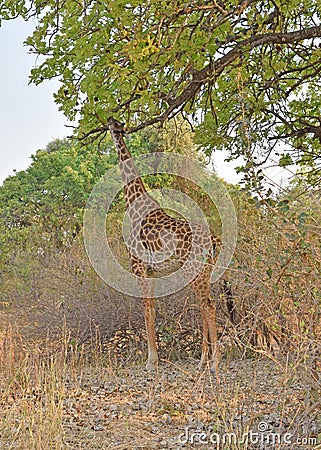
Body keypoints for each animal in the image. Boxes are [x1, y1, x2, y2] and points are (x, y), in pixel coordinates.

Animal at [107, 117, 220, 376]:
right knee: (204, 306)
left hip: (194, 270)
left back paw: (214, 363)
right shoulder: (151, 271)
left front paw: (151, 361)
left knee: (208, 305)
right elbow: (153, 308)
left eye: (115, 123)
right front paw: (154, 359)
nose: (109, 121)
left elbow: (146, 308)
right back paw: (202, 362)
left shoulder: (138, 265)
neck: (134, 203)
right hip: (203, 271)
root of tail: (214, 240)